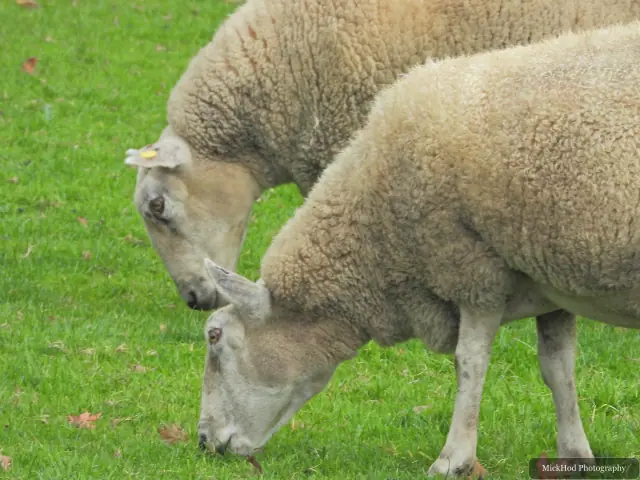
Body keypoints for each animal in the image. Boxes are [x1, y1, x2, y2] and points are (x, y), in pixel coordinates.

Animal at [196, 21, 640, 477]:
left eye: (214, 335)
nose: (204, 442)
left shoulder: (471, 267)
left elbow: (469, 363)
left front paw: (453, 459)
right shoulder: (546, 274)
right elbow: (558, 368)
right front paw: (575, 454)